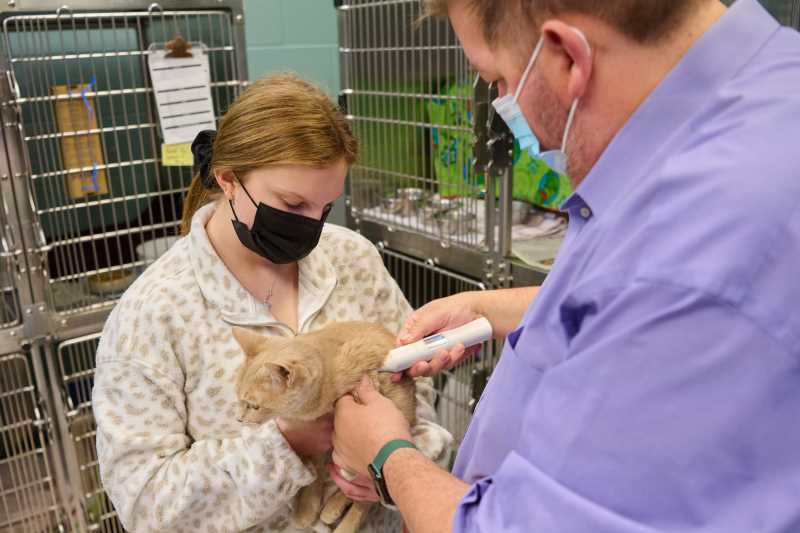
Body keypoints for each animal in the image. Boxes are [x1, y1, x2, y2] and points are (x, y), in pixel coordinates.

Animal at [231, 320, 416, 532]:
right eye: (239, 399)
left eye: (254, 406)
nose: (239, 419)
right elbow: (317, 468)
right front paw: (307, 506)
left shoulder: (368, 358)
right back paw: (329, 506)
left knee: (366, 498)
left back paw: (344, 521)